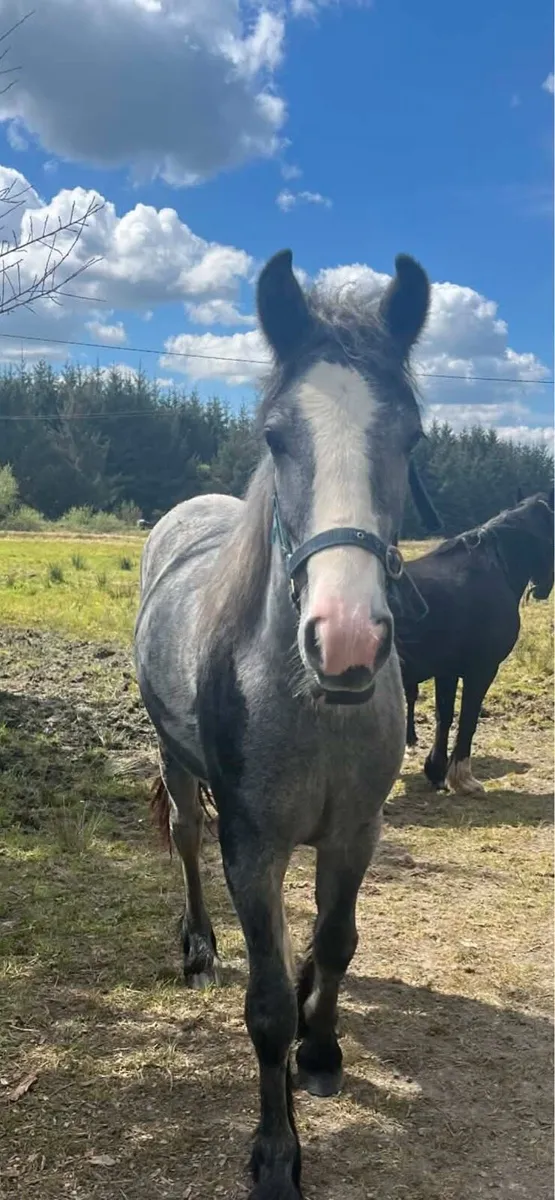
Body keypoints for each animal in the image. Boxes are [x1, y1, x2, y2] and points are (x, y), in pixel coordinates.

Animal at [134, 247, 434, 1200]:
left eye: (410, 437)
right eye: (274, 435)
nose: (345, 641)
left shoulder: (354, 831)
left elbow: (335, 942)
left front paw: (323, 1045)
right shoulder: (253, 847)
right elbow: (264, 1005)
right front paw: (276, 1151)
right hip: (179, 769)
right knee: (186, 837)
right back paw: (197, 947)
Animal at [397, 489, 554, 794]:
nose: (543, 587)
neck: (491, 570)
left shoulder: (446, 671)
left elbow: (444, 717)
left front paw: (437, 772)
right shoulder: (482, 670)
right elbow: (468, 718)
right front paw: (463, 778)